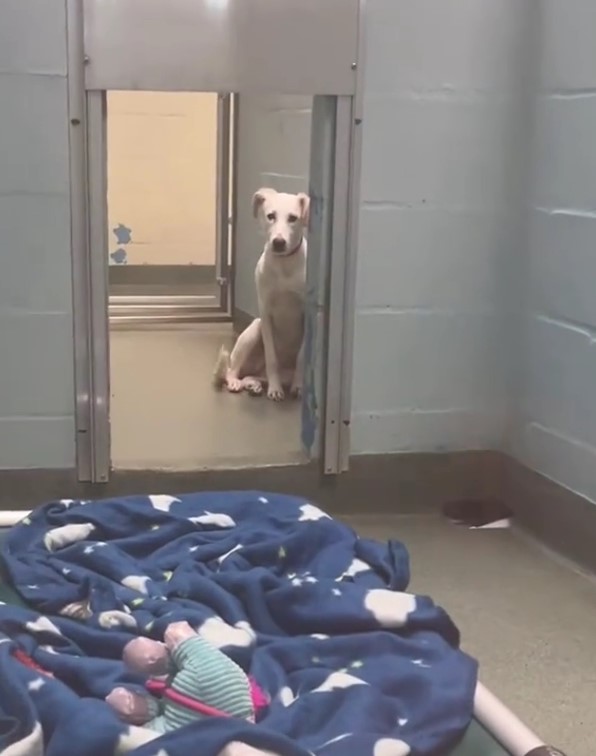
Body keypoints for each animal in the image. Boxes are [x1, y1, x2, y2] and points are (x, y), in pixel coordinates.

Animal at [213, 188, 308, 402]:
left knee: (252, 376)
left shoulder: (309, 316)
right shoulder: (266, 314)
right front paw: (275, 389)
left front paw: (299, 387)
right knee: (232, 370)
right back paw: (238, 382)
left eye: (293, 218)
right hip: (253, 331)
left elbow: (301, 357)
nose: (278, 243)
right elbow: (272, 357)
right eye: (270, 216)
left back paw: (254, 385)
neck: (284, 264)